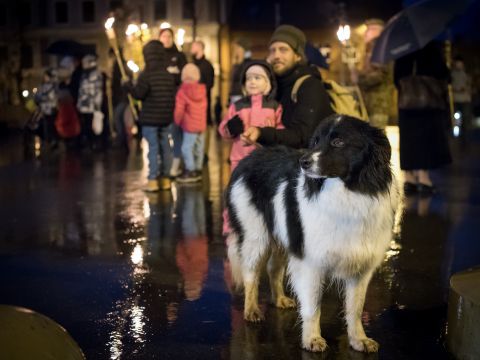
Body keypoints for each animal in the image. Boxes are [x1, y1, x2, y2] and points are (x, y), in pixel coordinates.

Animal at [227, 114, 400, 352]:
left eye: (338, 142)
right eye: (316, 141)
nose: (303, 162)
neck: (348, 193)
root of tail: (249, 157)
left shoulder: (361, 267)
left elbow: (355, 308)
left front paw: (359, 339)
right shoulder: (310, 262)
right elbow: (312, 305)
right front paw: (312, 339)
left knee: (274, 269)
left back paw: (279, 299)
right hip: (257, 237)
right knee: (251, 274)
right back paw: (251, 310)